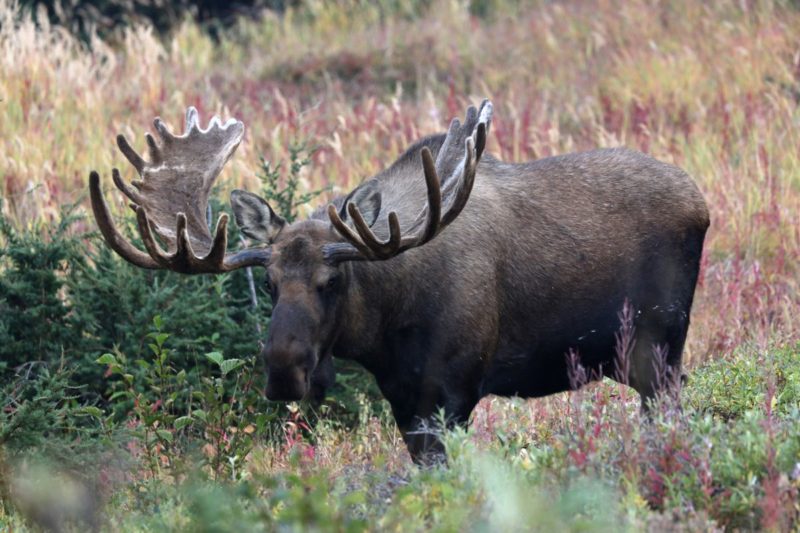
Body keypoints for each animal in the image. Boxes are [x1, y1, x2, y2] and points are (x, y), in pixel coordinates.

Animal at [90, 101, 708, 462]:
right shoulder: (404, 400)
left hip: (658, 348)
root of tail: (701, 202)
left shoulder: (453, 393)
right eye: (268, 282)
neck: (386, 333)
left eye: (333, 280)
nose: (285, 370)